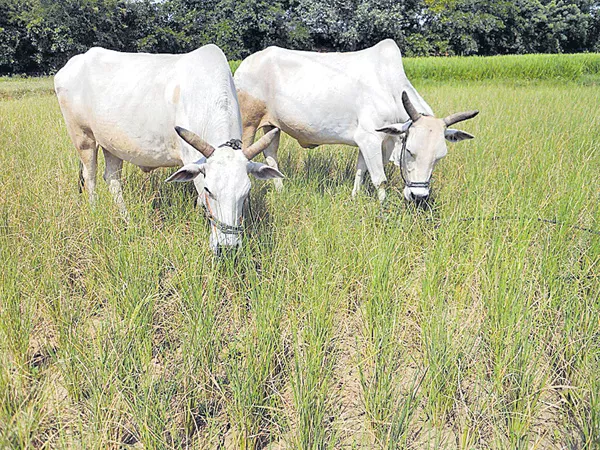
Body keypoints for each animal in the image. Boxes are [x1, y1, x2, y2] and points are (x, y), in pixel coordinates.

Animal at [55, 44, 282, 253]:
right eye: (210, 190)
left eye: (246, 191)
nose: (228, 247)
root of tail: (71, 65)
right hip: (83, 137)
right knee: (90, 177)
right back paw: (94, 210)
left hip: (111, 144)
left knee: (112, 179)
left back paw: (127, 220)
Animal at [234, 38, 478, 204]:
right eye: (410, 151)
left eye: (439, 157)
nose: (419, 196)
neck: (389, 88)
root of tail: (244, 65)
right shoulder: (372, 138)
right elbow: (379, 179)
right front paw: (383, 209)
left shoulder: (366, 141)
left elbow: (361, 171)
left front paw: (354, 196)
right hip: (248, 124)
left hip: (272, 126)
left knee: (270, 155)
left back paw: (280, 189)